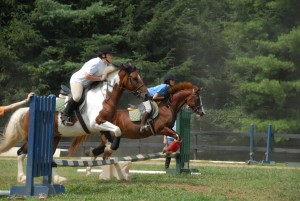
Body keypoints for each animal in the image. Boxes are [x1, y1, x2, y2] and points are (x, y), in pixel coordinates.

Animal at [0, 63, 149, 184]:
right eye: (134, 78)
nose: (147, 95)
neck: (104, 97)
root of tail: (28, 111)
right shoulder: (96, 124)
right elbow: (117, 131)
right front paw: (105, 150)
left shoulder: (103, 124)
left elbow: (112, 137)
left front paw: (105, 149)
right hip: (36, 137)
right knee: (21, 152)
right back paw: (22, 177)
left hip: (54, 137)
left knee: (46, 157)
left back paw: (57, 178)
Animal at [68, 81, 205, 160]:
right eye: (197, 99)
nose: (202, 113)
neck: (168, 106)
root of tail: (98, 117)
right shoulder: (162, 129)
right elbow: (178, 136)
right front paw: (167, 150)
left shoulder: (168, 128)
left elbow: (178, 137)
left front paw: (168, 151)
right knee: (106, 148)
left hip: (109, 135)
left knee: (103, 148)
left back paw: (90, 154)